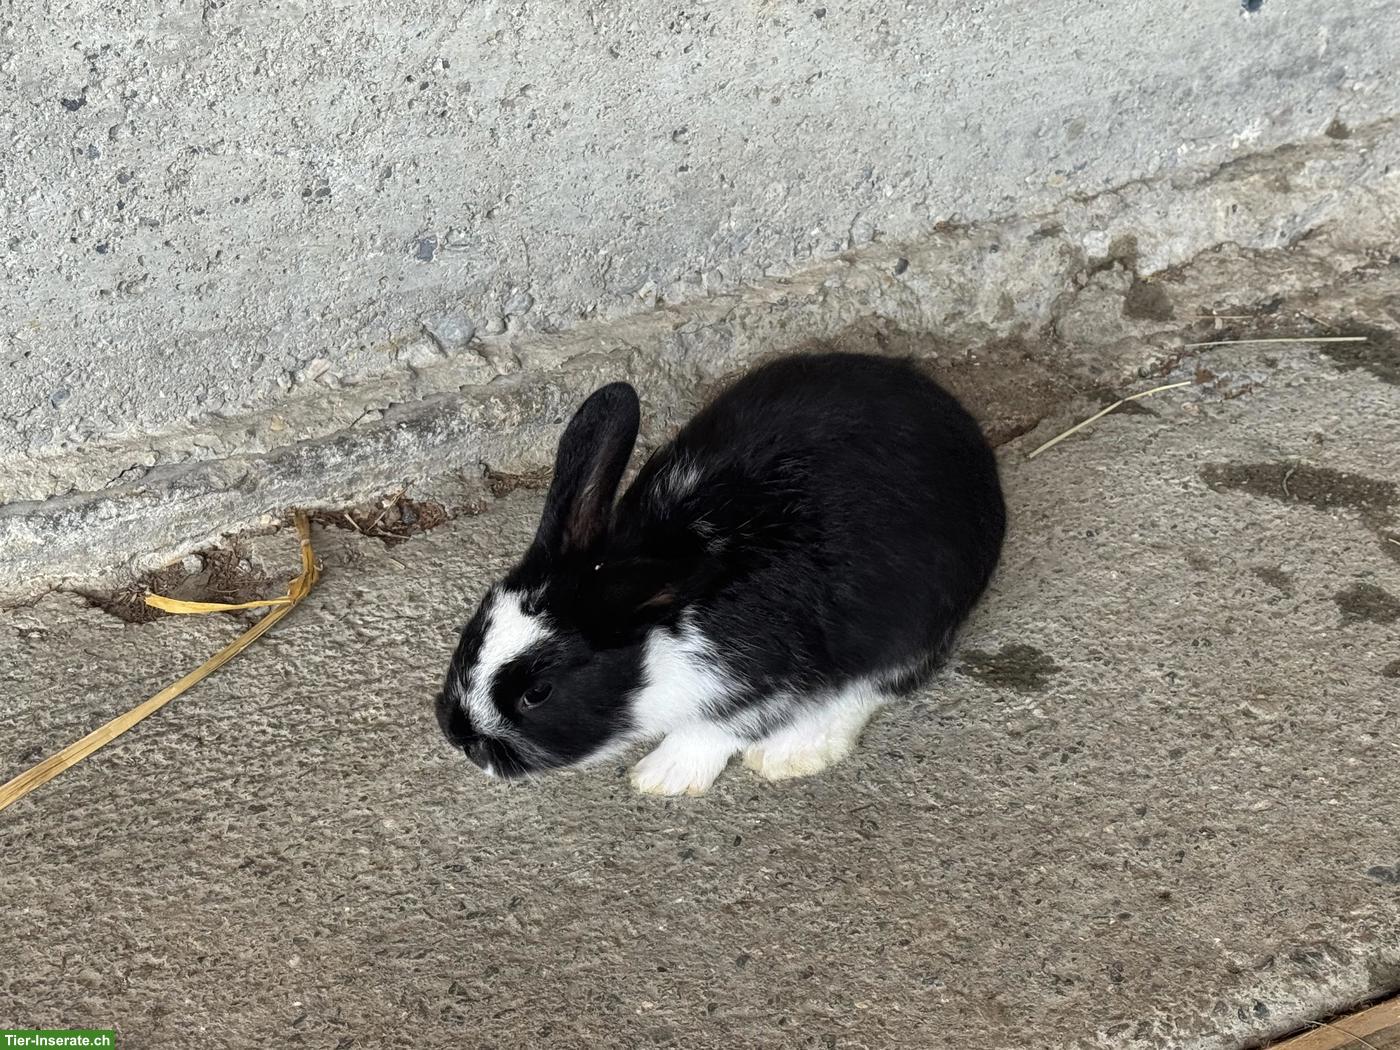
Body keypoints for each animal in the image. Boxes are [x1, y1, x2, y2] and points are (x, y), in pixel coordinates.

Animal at [435, 350, 1006, 795]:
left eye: (538, 692)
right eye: (472, 632)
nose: (459, 736)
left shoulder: (762, 680)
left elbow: (721, 725)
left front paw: (663, 776)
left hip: (913, 618)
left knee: (879, 684)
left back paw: (789, 753)